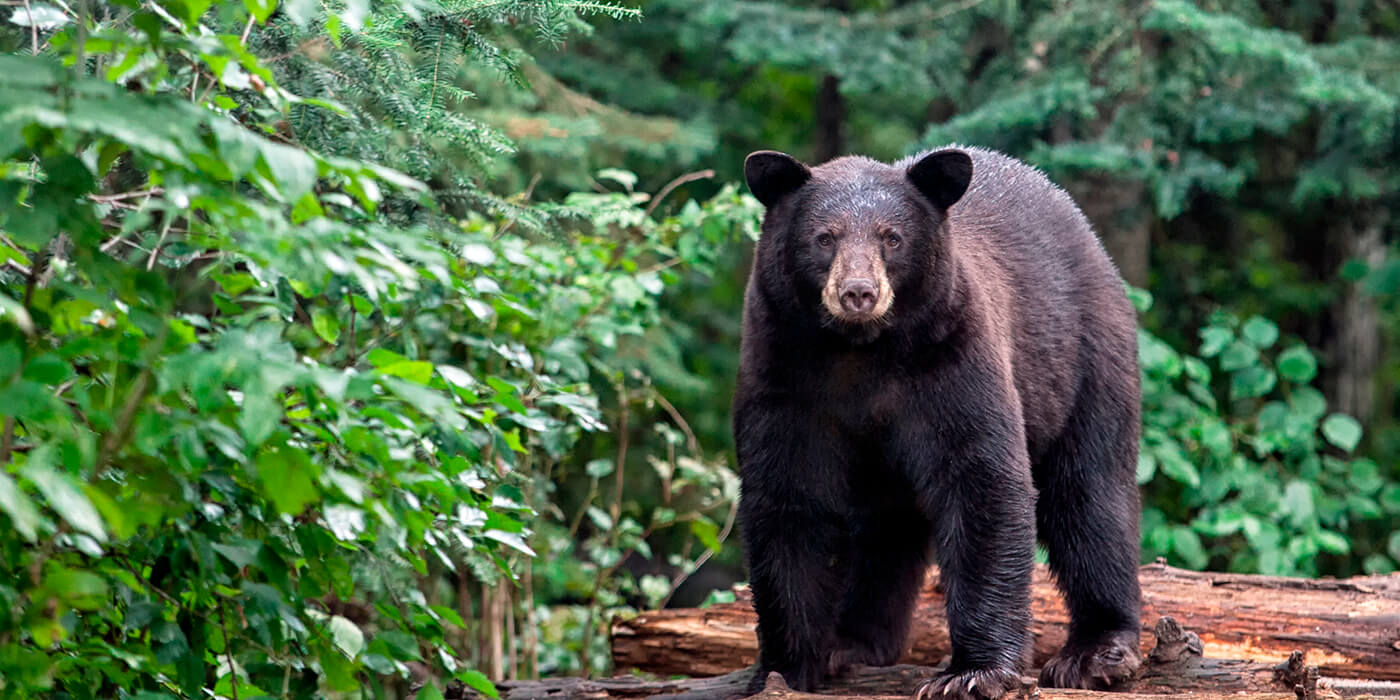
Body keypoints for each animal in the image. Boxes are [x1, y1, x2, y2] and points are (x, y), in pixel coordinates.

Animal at [739, 146, 1142, 700]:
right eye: (824, 237)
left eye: (892, 237)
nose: (859, 292)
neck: (859, 352)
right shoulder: (783, 372)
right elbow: (787, 499)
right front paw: (784, 668)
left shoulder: (950, 358)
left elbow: (982, 480)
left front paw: (972, 673)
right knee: (883, 529)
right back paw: (853, 644)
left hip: (1085, 359)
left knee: (1091, 494)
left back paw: (1096, 651)